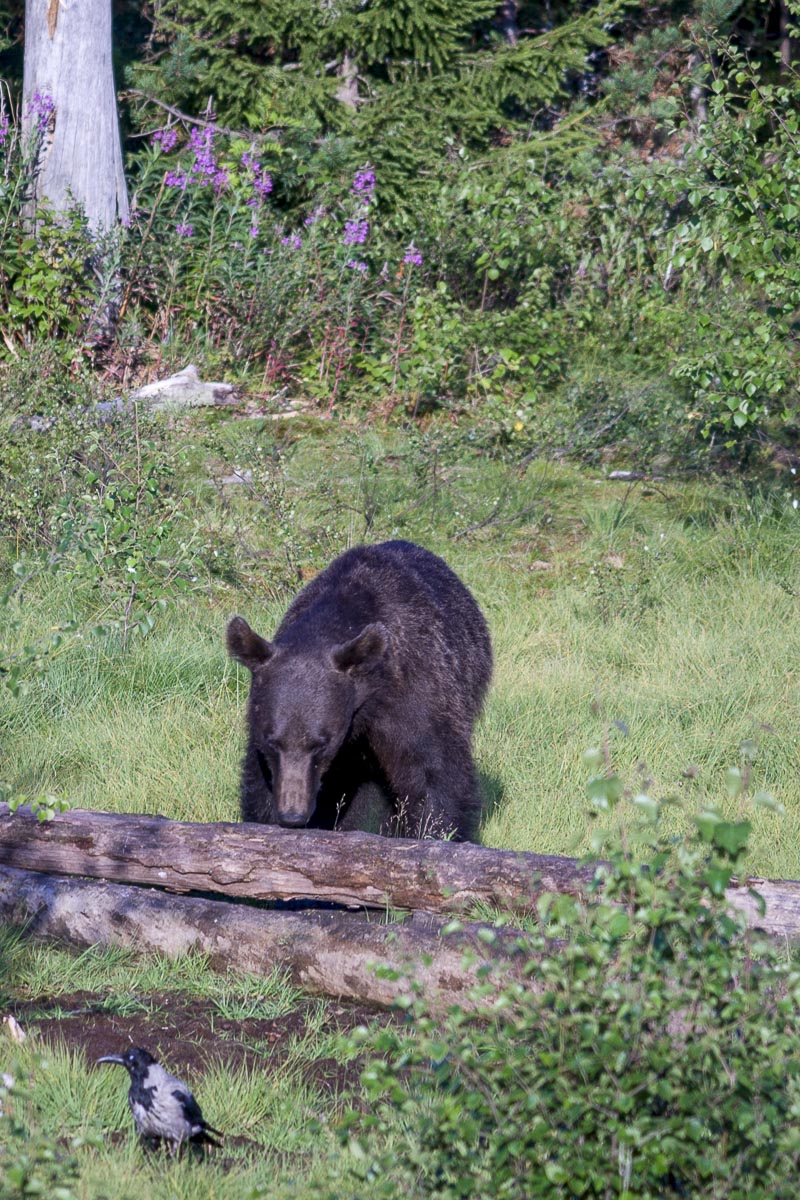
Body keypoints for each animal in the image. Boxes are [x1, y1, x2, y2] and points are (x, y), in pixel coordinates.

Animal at [226, 539, 492, 841]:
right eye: (272, 741)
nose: (292, 814)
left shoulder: (413, 695)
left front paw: (436, 832)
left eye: (321, 743)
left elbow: (432, 772)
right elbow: (259, 782)